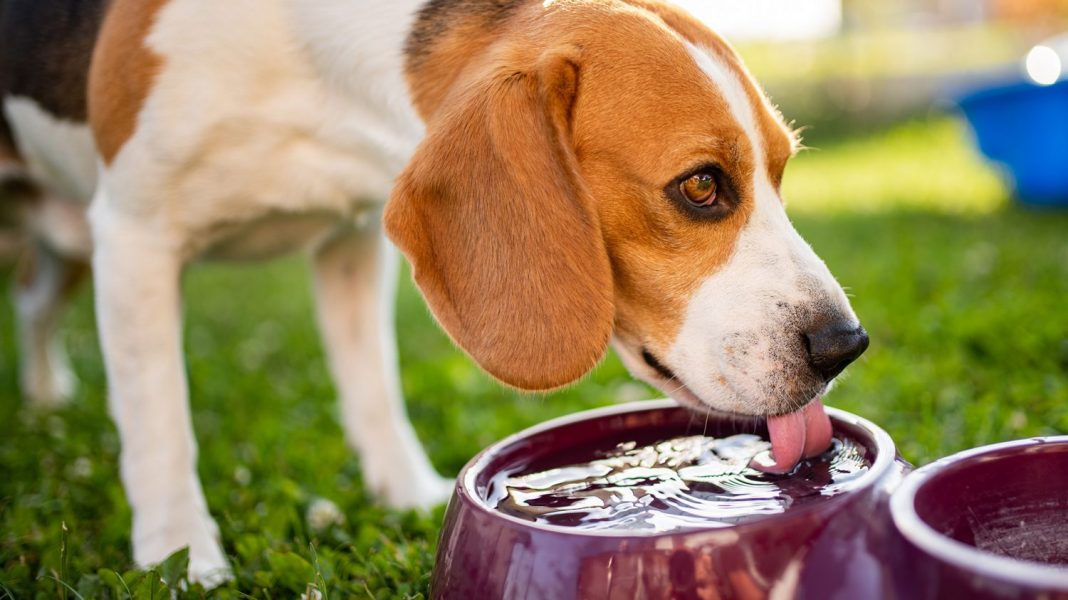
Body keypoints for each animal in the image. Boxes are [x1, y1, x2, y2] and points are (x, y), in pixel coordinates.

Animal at [0, 0, 867, 585]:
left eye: (782, 171)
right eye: (701, 186)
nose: (844, 345)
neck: (310, 67)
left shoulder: (350, 240)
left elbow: (373, 388)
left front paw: (407, 494)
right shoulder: (135, 234)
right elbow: (158, 424)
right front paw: (182, 559)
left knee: (35, 306)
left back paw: (44, 396)